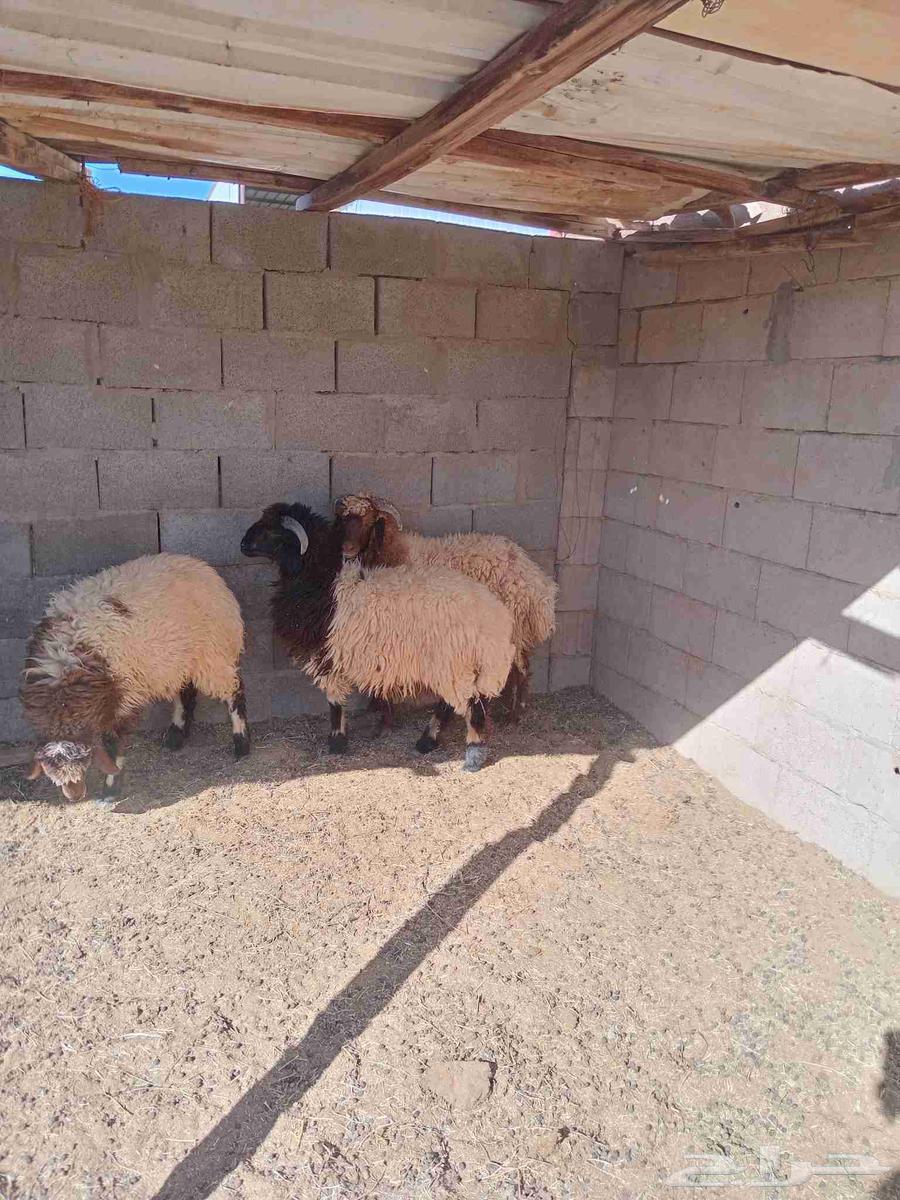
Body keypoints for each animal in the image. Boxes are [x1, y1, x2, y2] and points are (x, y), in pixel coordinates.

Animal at [21, 554, 249, 803]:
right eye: (49, 769)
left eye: (85, 759)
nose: (75, 796)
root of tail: (200, 566)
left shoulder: (124, 697)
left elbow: (114, 744)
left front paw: (111, 790)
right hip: (178, 661)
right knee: (185, 692)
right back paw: (175, 737)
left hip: (213, 655)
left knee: (234, 691)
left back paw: (241, 743)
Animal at [240, 502, 516, 770]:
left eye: (271, 531)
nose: (242, 545)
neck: (323, 581)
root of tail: (495, 616)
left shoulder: (328, 654)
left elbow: (334, 699)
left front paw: (337, 742)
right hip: (454, 665)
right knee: (454, 703)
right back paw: (428, 741)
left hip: (455, 661)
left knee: (472, 705)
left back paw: (473, 755)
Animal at [334, 493, 557, 720]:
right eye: (343, 519)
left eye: (368, 519)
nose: (346, 548)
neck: (396, 551)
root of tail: (537, 582)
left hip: (514, 626)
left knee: (521, 667)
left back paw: (514, 714)